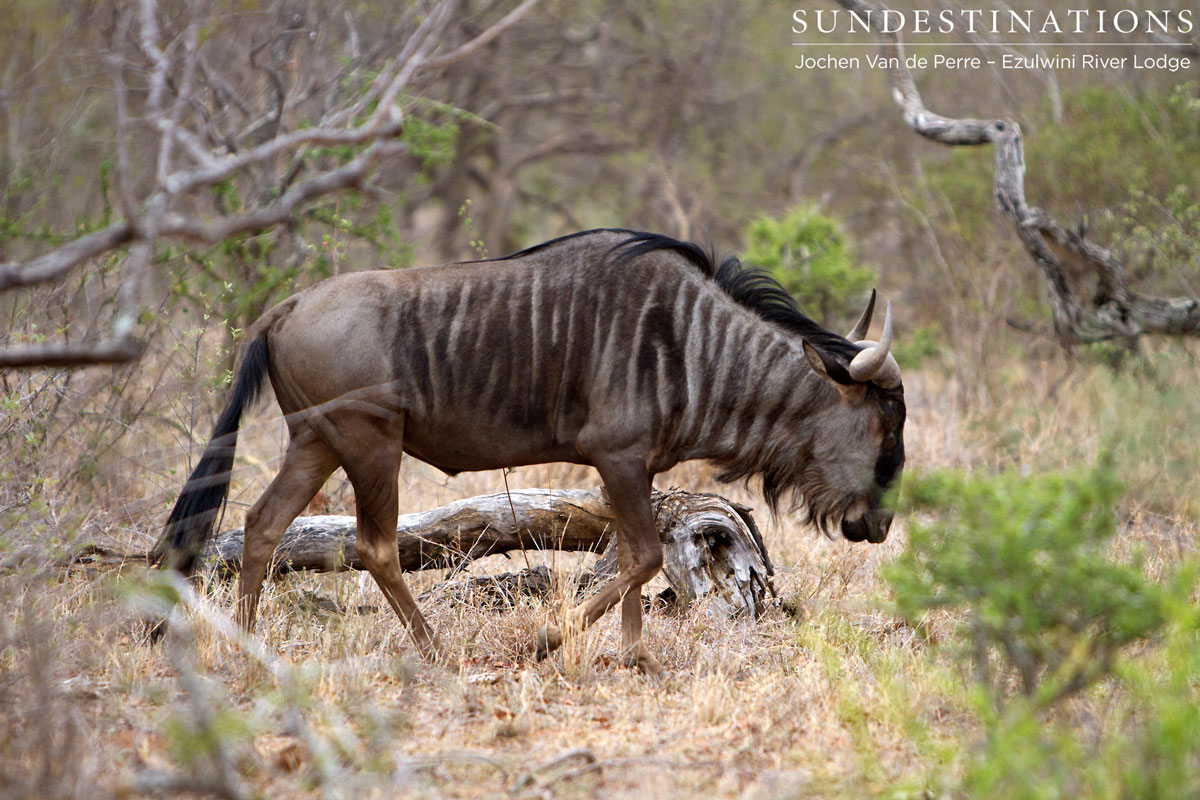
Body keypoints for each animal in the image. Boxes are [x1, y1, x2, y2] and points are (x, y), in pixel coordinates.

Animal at [154, 229, 905, 675]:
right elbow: (642, 558)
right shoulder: (617, 457)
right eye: (886, 426)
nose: (879, 524)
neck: (692, 343)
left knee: (262, 524)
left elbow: (633, 560)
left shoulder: (632, 469)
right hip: (370, 444)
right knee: (374, 545)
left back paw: (250, 651)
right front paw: (548, 640)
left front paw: (635, 660)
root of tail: (286, 308)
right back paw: (435, 650)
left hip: (316, 442)